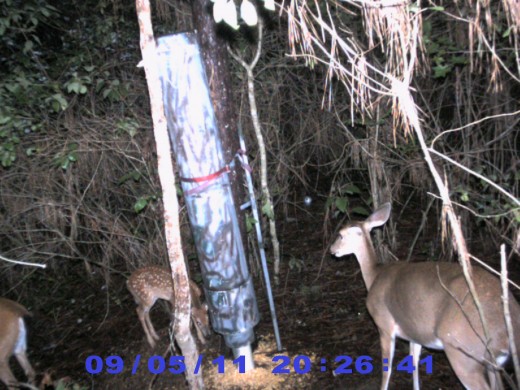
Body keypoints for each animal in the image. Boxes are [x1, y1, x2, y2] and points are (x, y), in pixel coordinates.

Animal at [332, 203, 520, 388]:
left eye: (340, 235)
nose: (332, 250)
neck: (374, 276)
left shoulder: (384, 323)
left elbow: (387, 369)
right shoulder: (415, 331)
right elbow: (414, 363)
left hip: (464, 351)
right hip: (491, 362)